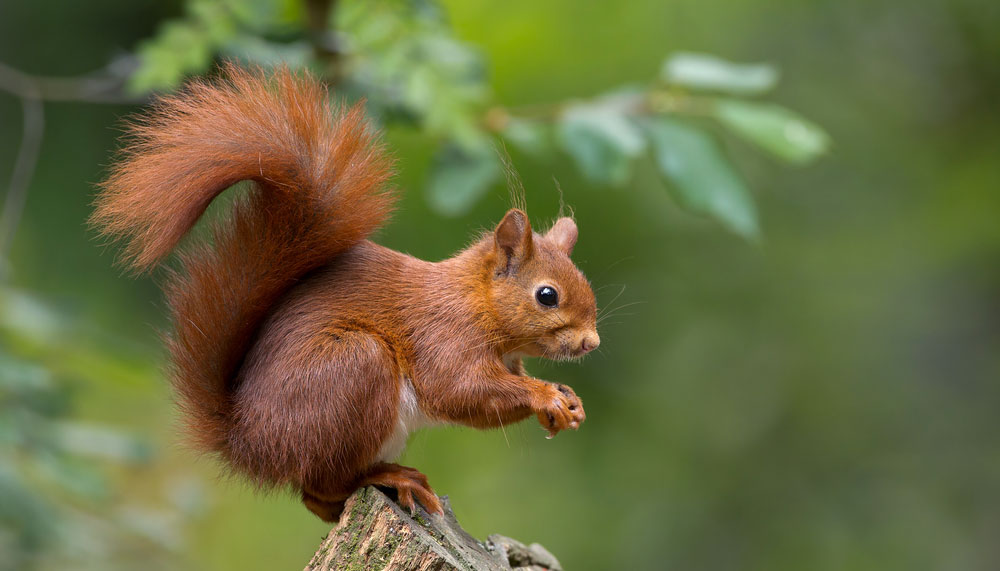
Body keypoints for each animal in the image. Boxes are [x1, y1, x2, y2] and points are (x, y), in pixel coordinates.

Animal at [91, 64, 600, 522]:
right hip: (354, 369)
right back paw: (389, 477)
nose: (591, 342)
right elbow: (460, 390)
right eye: (547, 295)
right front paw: (545, 396)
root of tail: (248, 444)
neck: (476, 302)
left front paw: (567, 401)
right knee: (322, 484)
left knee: (315, 500)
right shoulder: (443, 335)